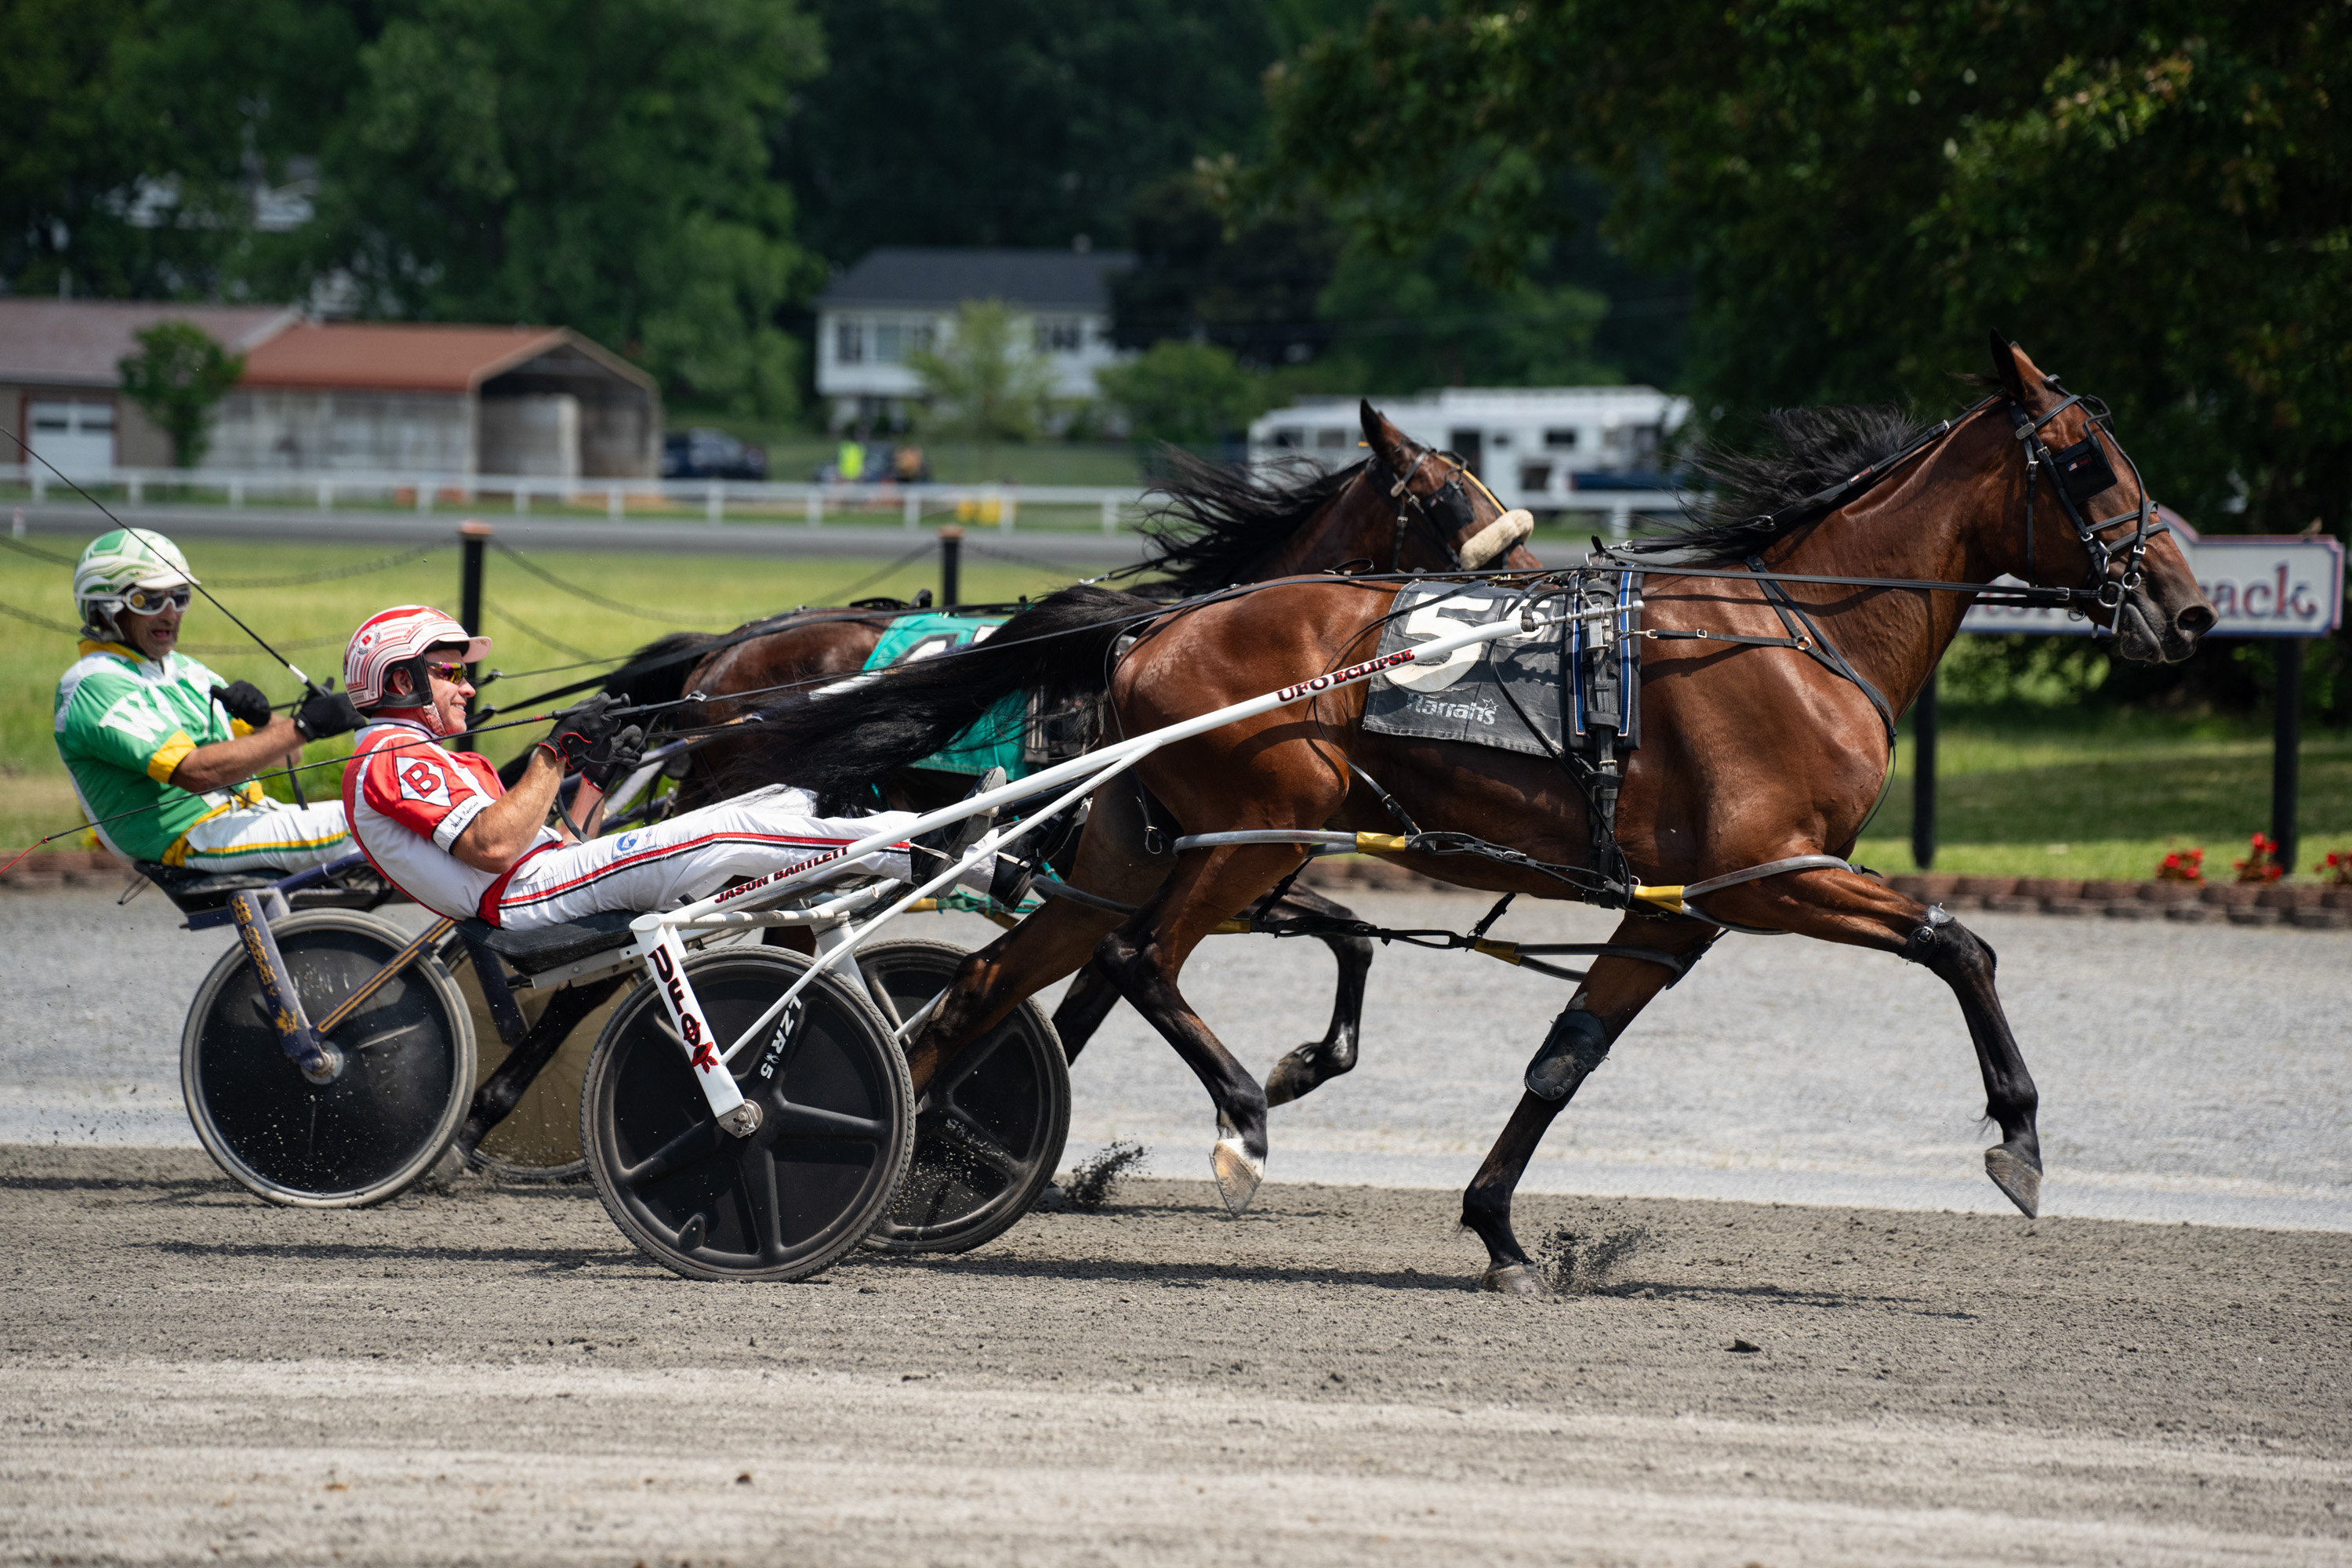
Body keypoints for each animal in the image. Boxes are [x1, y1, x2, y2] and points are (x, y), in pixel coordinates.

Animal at [605, 429, 1542, 1102]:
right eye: (1447, 499)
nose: (1535, 586)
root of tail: (723, 649)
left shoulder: (1211, 865)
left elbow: (1346, 937)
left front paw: (1302, 1066)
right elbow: (1090, 995)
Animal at [732, 337, 2216, 1292]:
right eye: (2091, 467)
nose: (2190, 608)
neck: (1801, 635)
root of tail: (1155, 630)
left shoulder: (1677, 916)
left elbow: (1562, 1063)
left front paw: (1501, 1234)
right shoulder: (1770, 876)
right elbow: (1961, 943)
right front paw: (2018, 1139)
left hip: (1125, 846)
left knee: (986, 988)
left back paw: (907, 1164)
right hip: (1258, 832)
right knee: (1135, 961)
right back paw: (1237, 1124)